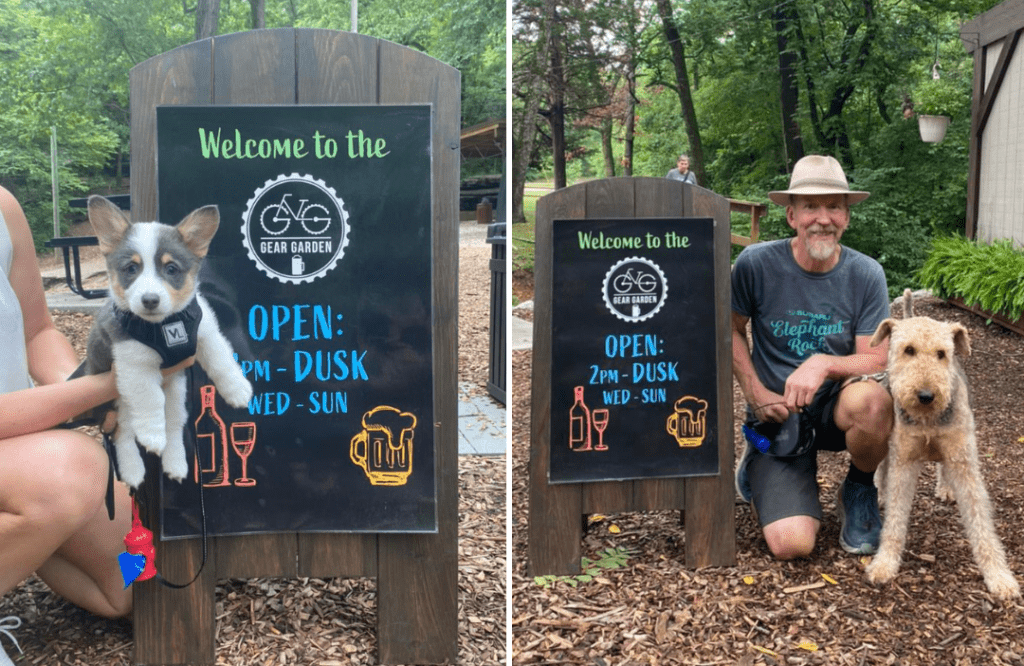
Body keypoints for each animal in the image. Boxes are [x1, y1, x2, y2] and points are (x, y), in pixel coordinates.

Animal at [83, 194, 251, 485]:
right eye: (131, 268)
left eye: (171, 268)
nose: (150, 300)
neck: (163, 326)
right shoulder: (134, 364)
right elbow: (150, 399)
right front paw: (152, 436)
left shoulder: (206, 334)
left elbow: (222, 361)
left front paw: (238, 391)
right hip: (120, 403)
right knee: (124, 434)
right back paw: (133, 470)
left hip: (177, 394)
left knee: (173, 426)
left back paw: (176, 464)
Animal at [864, 286, 1015, 598]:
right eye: (908, 350)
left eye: (941, 354)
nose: (926, 396)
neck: (928, 422)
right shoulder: (904, 460)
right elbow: (895, 519)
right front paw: (884, 564)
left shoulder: (964, 462)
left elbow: (981, 523)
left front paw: (999, 577)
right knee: (882, 469)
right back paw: (880, 492)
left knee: (942, 467)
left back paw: (945, 488)